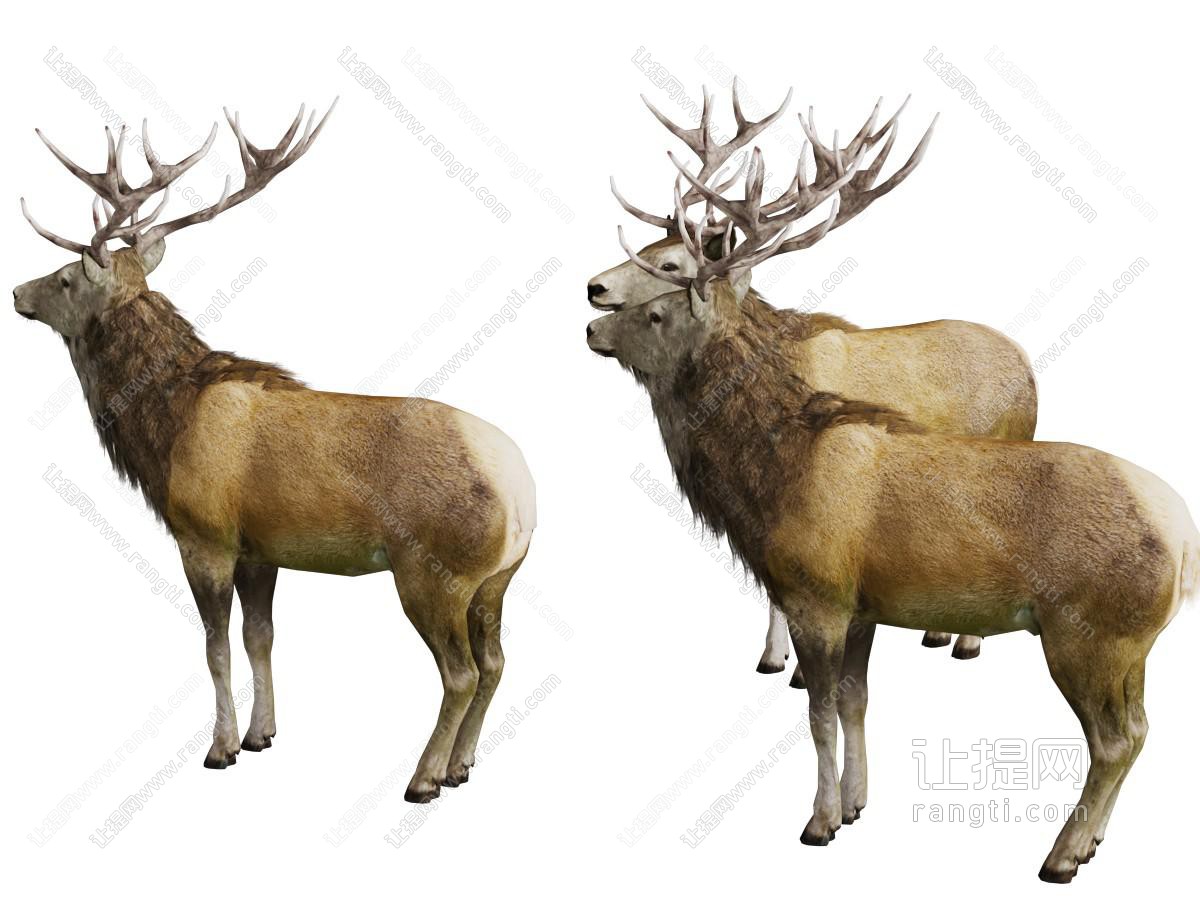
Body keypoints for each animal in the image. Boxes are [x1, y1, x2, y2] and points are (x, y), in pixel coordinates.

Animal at [12, 102, 536, 803]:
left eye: (66, 277)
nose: (18, 291)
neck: (159, 433)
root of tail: (522, 494)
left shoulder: (204, 535)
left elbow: (215, 647)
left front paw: (221, 747)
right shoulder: (261, 549)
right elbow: (259, 637)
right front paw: (263, 733)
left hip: (433, 571)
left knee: (461, 673)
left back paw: (424, 778)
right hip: (496, 580)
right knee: (497, 663)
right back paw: (462, 765)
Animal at [586, 148, 1197, 882]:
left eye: (664, 292)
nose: (590, 314)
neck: (764, 481)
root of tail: (1183, 541)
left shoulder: (816, 592)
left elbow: (818, 713)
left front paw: (818, 822)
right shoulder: (864, 603)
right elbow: (857, 700)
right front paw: (856, 803)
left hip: (1089, 633)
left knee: (1112, 741)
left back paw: (1061, 854)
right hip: (1132, 644)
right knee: (1140, 731)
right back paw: (1091, 840)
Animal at [589, 84, 1037, 678]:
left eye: (669, 264)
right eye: (643, 247)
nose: (593, 288)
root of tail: (1027, 365)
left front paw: (785, 663)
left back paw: (966, 642)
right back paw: (940, 632)